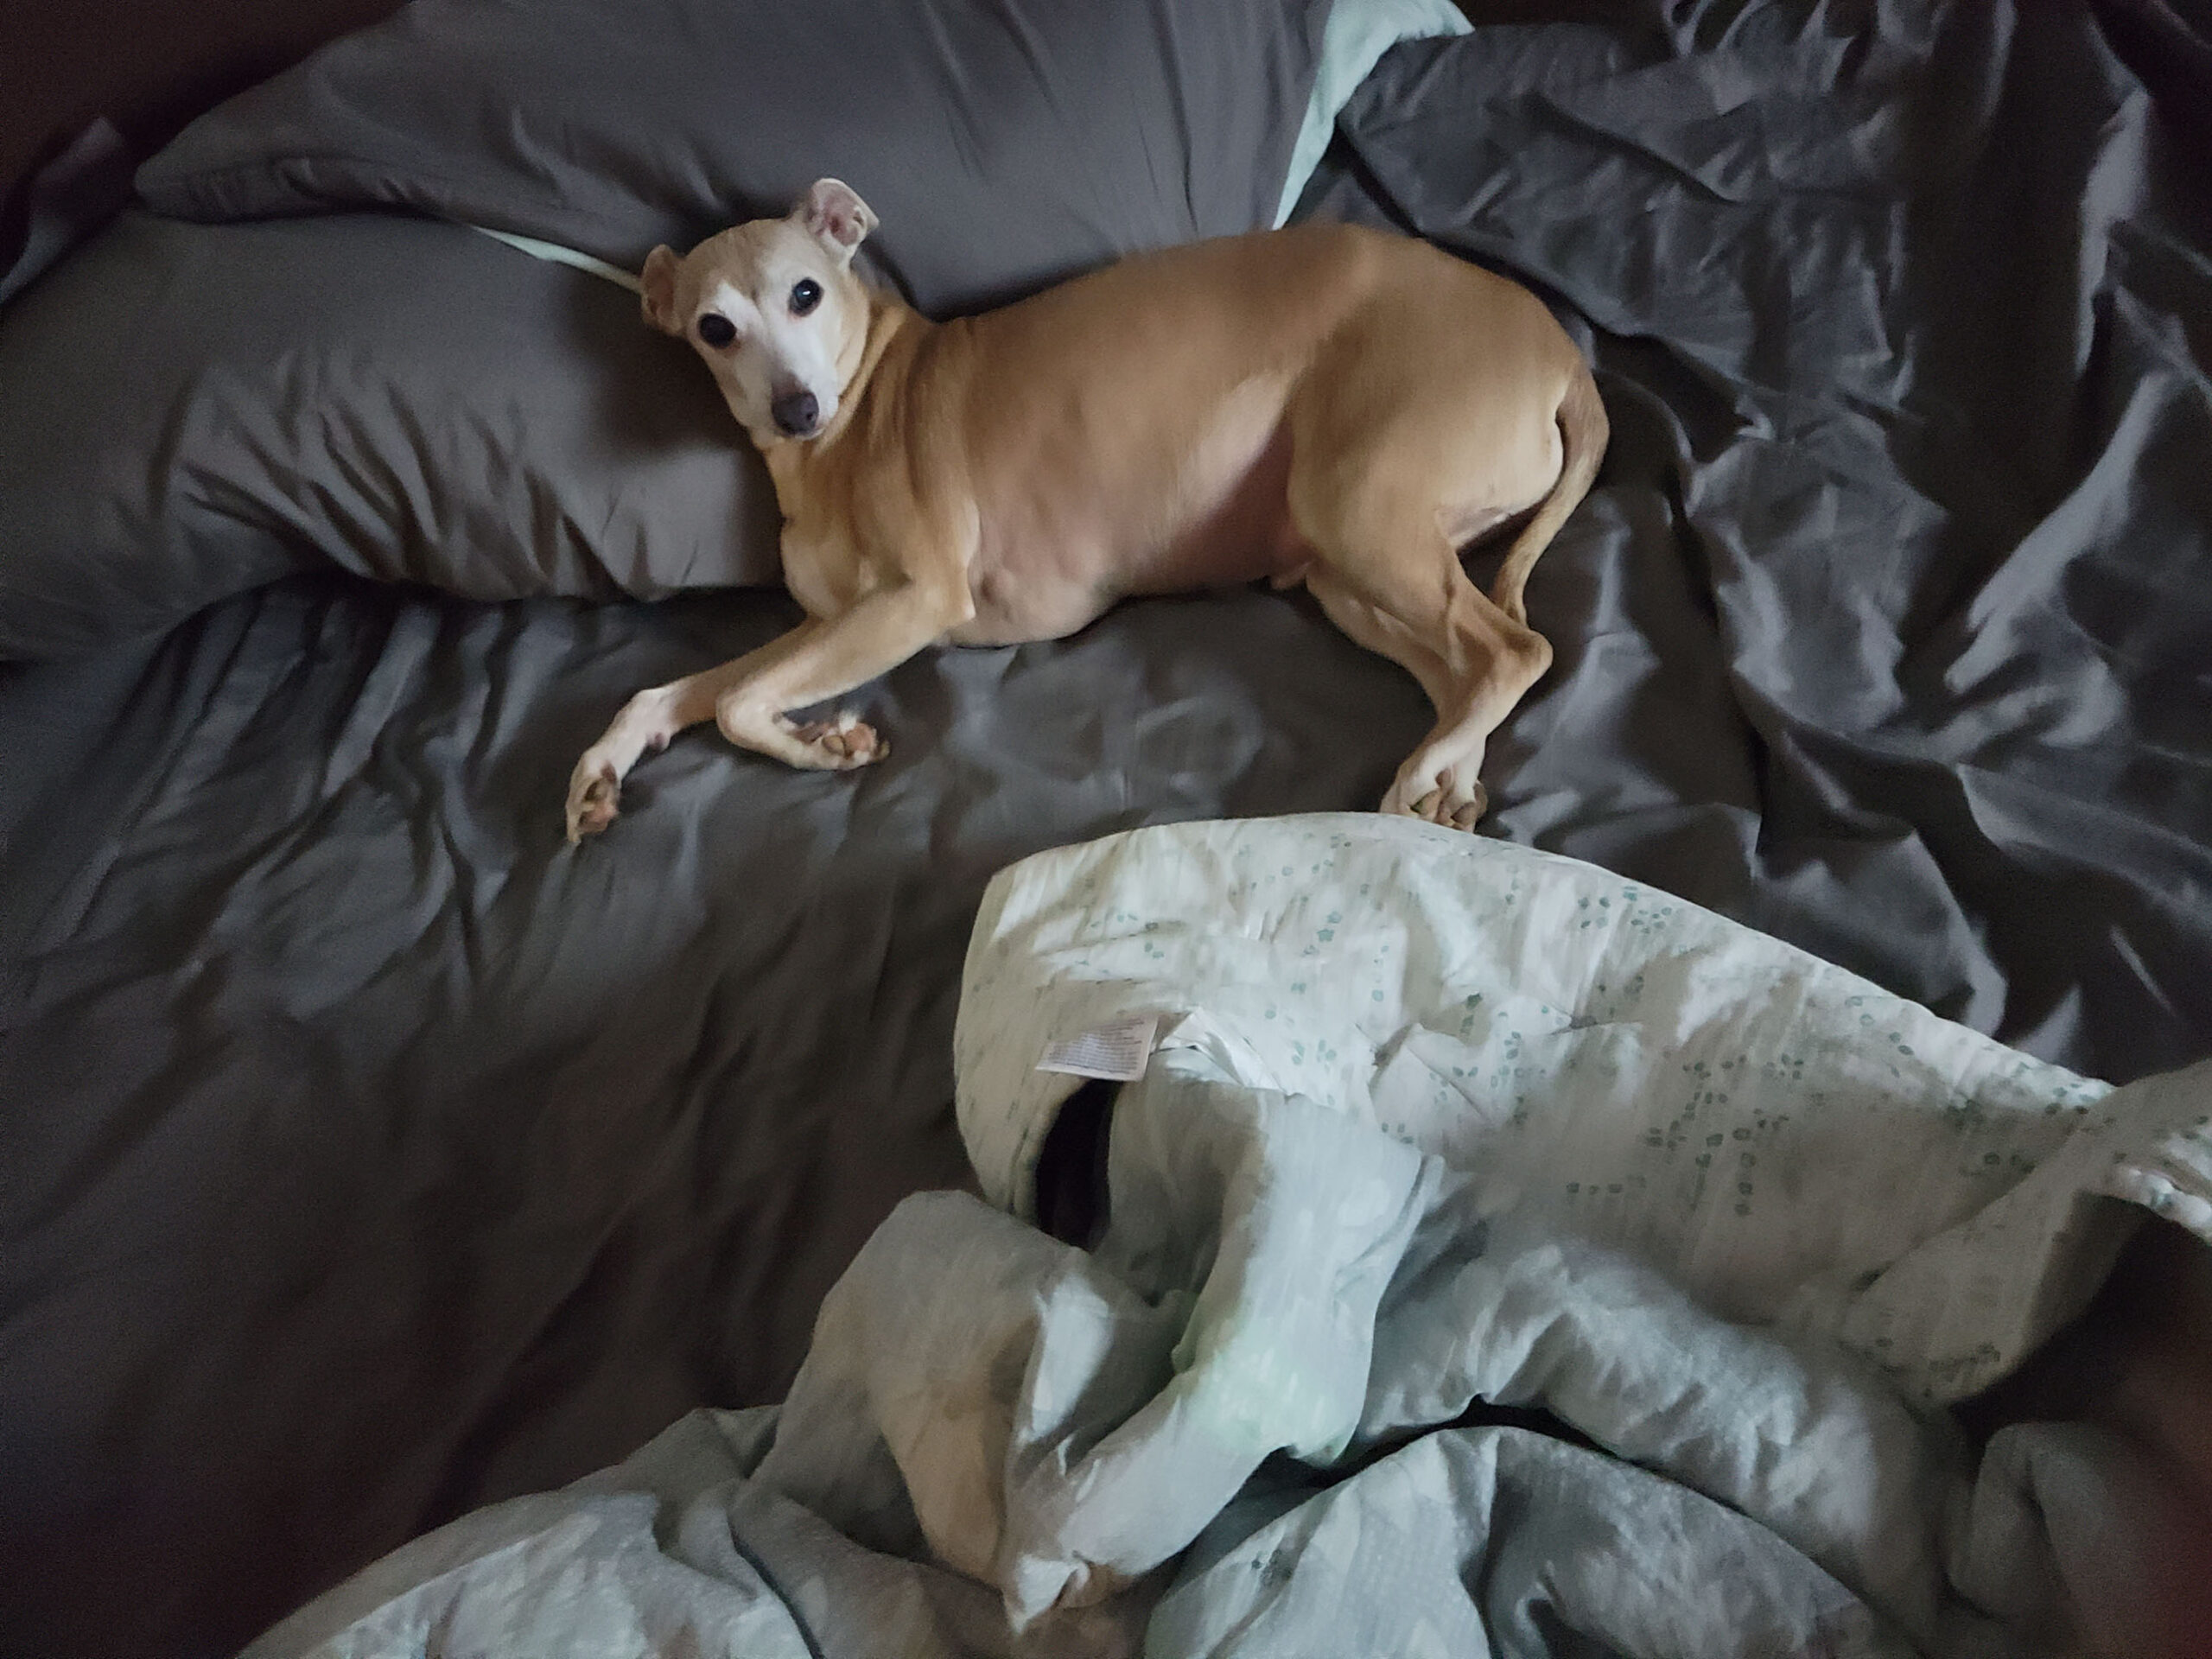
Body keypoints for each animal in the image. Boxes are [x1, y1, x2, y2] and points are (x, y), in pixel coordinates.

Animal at [565, 179, 1606, 843]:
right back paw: (1449, 780)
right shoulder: (835, 622)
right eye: (714, 328)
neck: (849, 425)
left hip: (1357, 507)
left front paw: (820, 742)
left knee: (1517, 651)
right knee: (1464, 671)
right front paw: (609, 767)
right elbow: (680, 692)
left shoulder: (914, 600)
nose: (795, 410)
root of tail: (1562, 350)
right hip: (1346, 570)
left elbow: (738, 701)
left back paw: (1424, 775)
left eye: (807, 293)